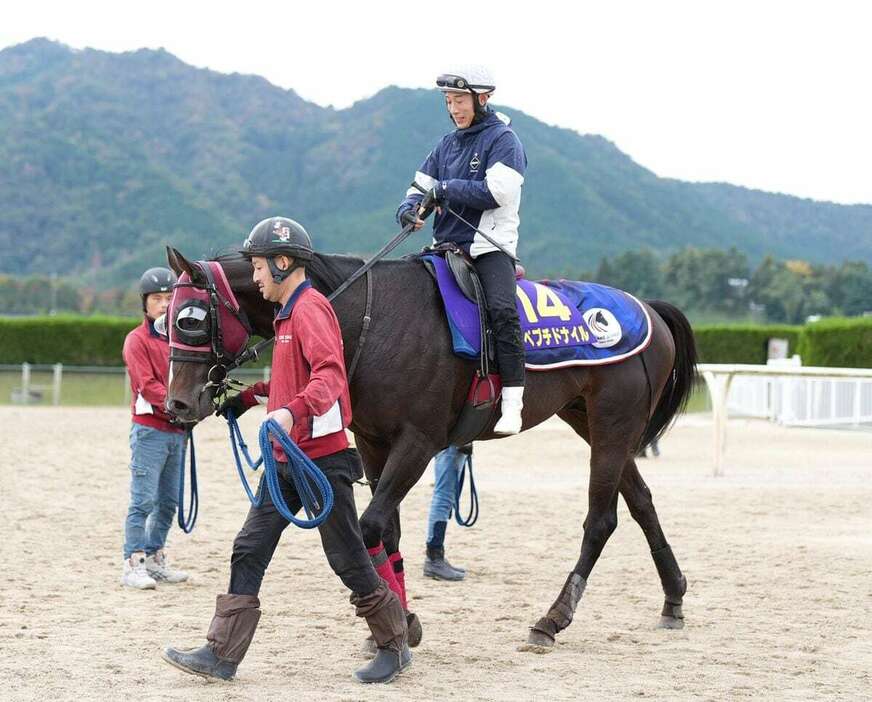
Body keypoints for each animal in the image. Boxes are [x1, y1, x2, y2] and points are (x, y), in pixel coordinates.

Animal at [164, 250, 696, 652]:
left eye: (190, 320)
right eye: (164, 320)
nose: (178, 403)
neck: (371, 316)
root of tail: (646, 307)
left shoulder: (417, 443)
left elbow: (369, 526)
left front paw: (393, 620)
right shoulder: (373, 442)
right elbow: (389, 533)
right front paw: (400, 620)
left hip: (613, 423)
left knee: (601, 520)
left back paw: (552, 618)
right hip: (591, 421)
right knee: (642, 502)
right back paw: (673, 598)